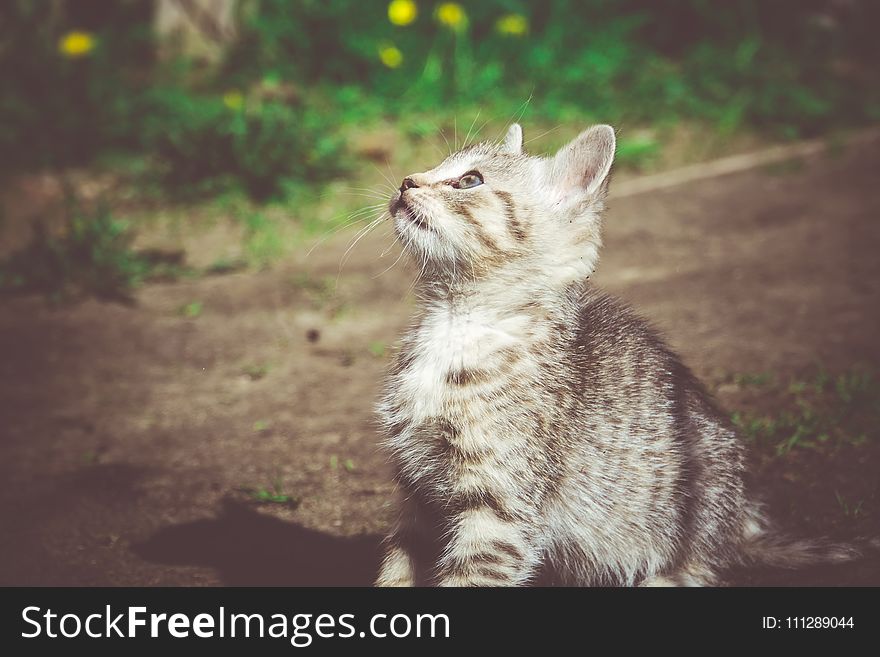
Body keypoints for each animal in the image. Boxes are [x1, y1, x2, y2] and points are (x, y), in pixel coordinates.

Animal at [376, 123, 860, 584]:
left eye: (470, 180)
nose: (406, 181)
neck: (452, 325)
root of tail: (741, 525)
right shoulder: (416, 492)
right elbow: (397, 565)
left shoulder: (501, 510)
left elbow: (473, 576)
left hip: (704, 482)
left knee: (706, 565)